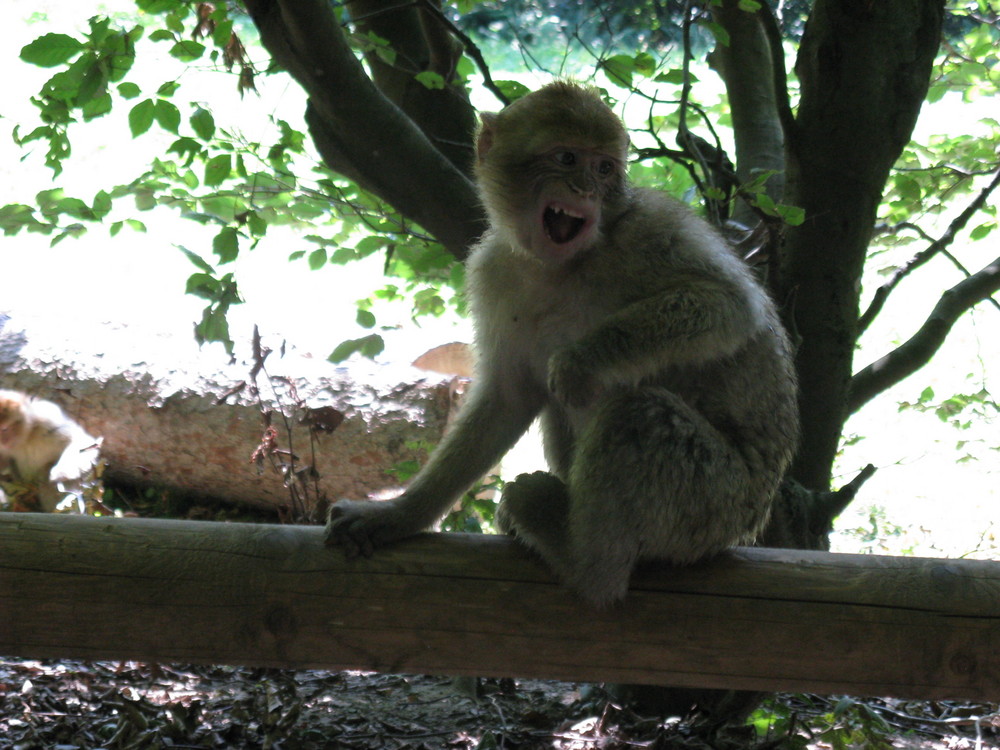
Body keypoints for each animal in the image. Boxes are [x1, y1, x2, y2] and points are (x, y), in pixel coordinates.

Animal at [328, 82, 796, 608]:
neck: (561, 266)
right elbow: (509, 397)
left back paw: (583, 561)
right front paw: (400, 515)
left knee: (638, 413)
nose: (586, 190)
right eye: (567, 158)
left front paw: (585, 358)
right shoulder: (493, 270)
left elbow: (731, 304)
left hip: (714, 505)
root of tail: (749, 521)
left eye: (604, 168)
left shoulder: (651, 228)